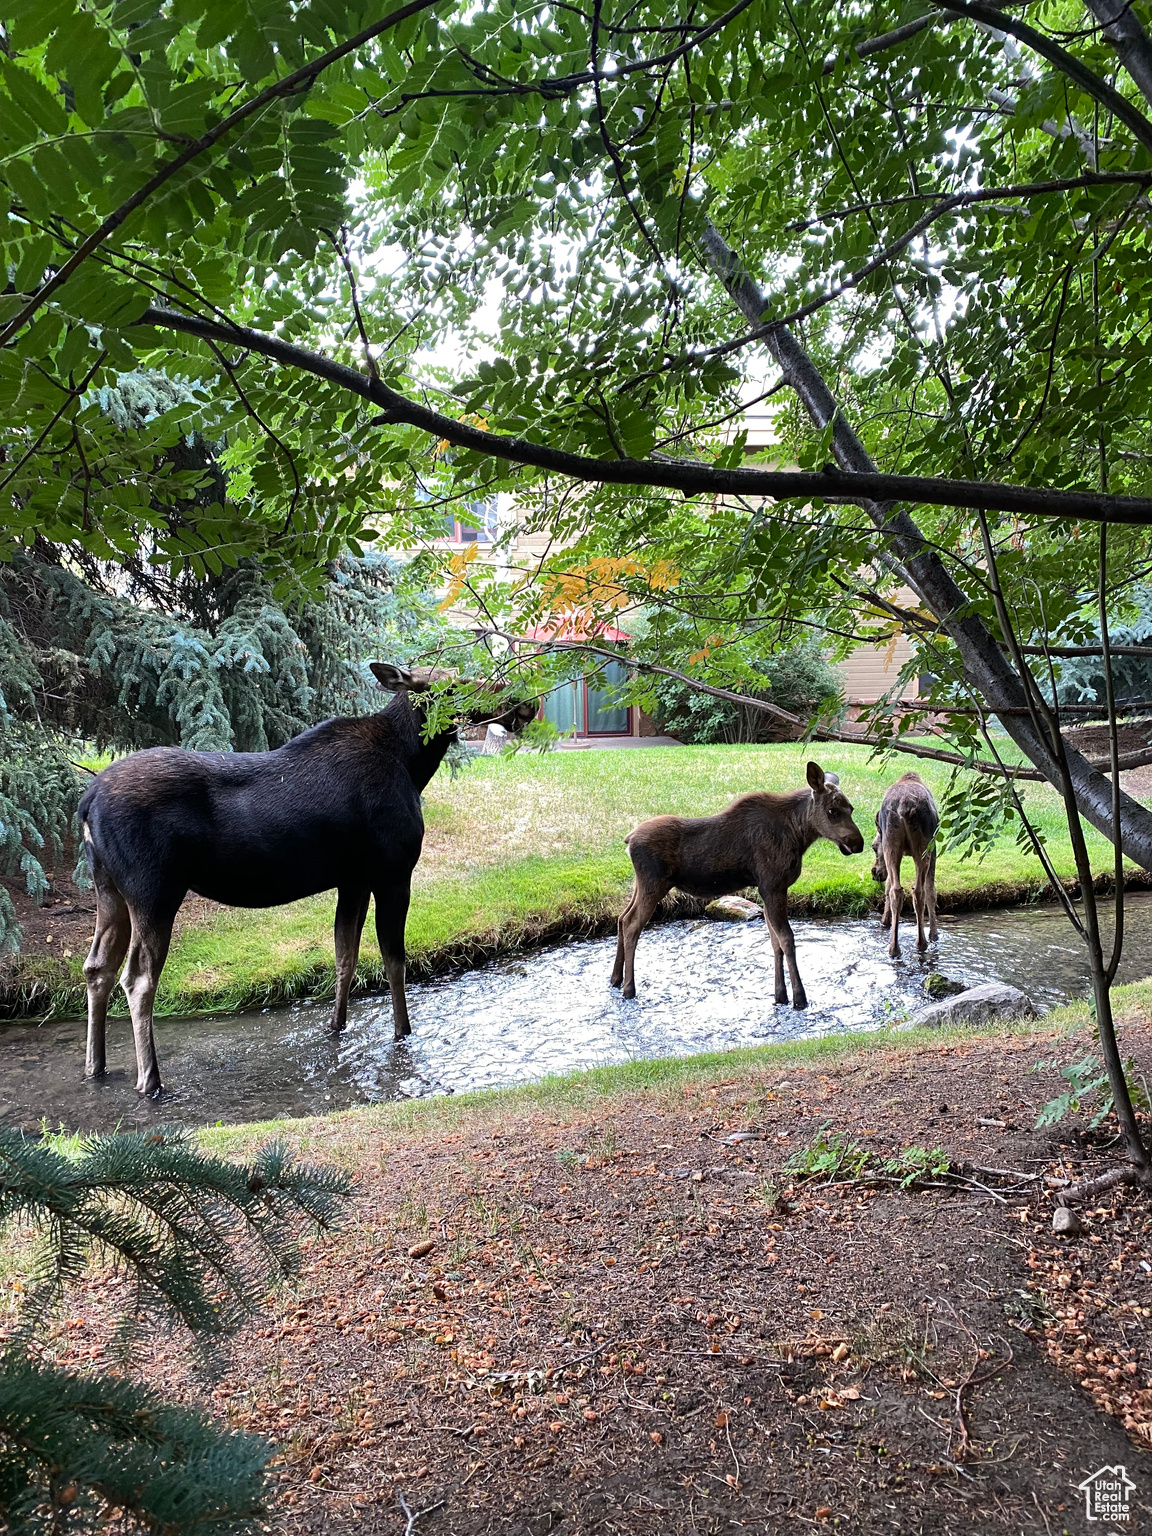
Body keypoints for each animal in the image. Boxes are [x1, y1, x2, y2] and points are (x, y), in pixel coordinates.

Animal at [614, 764, 866, 1007]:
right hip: (654, 884)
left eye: (851, 809)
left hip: (640, 884)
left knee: (622, 918)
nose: (858, 843)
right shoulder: (773, 885)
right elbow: (787, 939)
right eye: (832, 811)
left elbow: (774, 941)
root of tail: (629, 839)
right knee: (632, 924)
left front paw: (780, 995)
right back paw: (629, 988)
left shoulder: (768, 889)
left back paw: (615, 979)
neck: (798, 835)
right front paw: (799, 998)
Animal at [872, 774, 940, 952]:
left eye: (873, 847)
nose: (874, 872)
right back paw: (921, 942)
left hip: (892, 844)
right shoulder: (934, 849)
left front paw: (885, 920)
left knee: (897, 890)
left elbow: (888, 886)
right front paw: (934, 934)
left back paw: (894, 947)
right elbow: (932, 891)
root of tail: (904, 807)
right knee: (918, 891)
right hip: (923, 846)